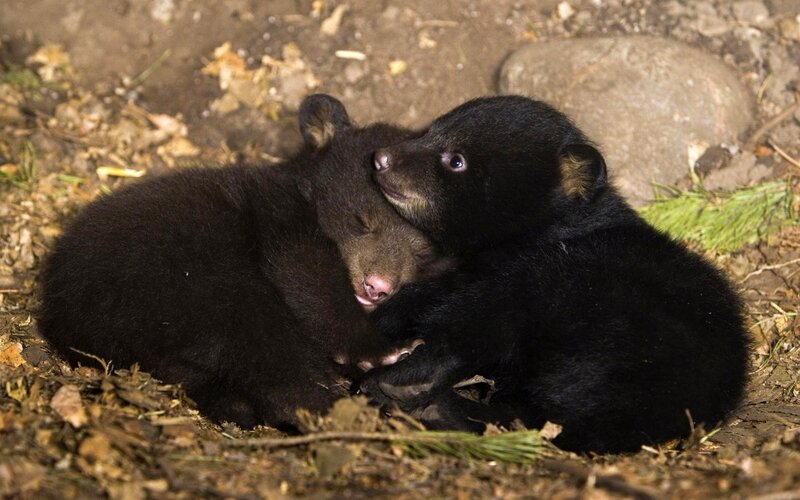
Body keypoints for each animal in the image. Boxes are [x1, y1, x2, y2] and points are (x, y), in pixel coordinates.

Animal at [38, 94, 448, 430]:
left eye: (422, 253)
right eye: (362, 220)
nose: (377, 286)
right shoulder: (277, 216)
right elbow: (307, 275)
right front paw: (380, 349)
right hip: (181, 282)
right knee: (262, 342)